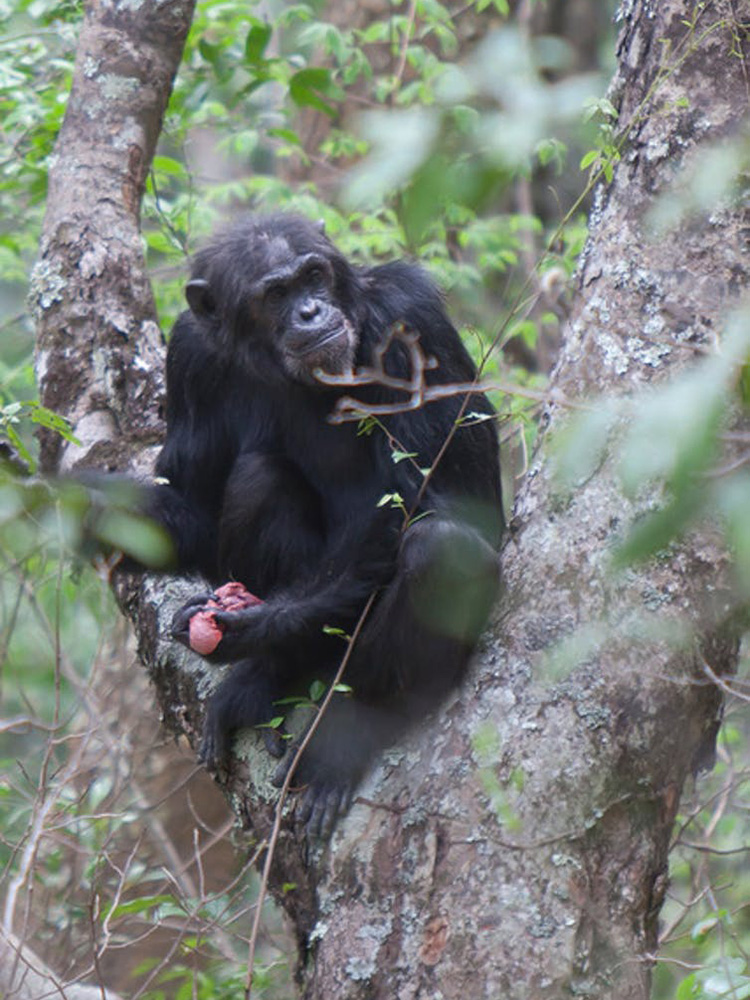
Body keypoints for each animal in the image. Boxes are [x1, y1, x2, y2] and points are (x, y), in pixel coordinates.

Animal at [145, 213, 506, 836]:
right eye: (275, 294)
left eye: (313, 276)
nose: (311, 311)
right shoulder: (188, 356)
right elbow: (193, 504)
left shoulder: (410, 316)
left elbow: (424, 500)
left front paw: (253, 626)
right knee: (260, 477)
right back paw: (266, 678)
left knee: (440, 549)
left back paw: (345, 731)